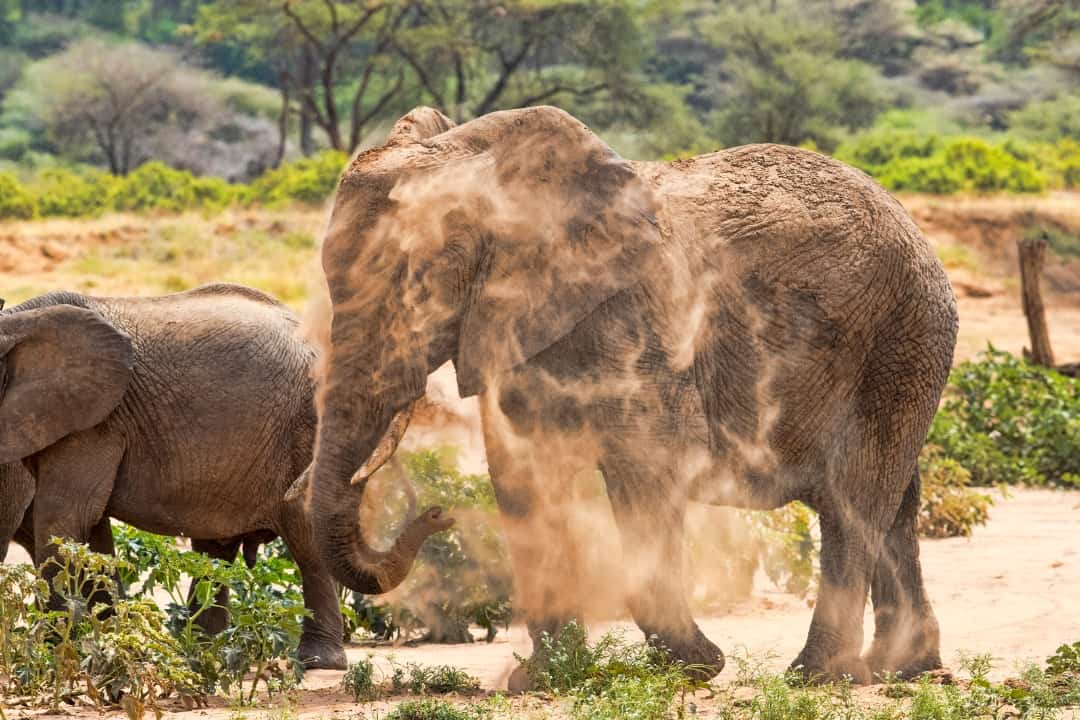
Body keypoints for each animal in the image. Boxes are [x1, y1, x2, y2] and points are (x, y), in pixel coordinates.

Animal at [0, 283, 348, 669]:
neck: (16, 320)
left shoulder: (95, 423)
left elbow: (64, 518)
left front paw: (54, 651)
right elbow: (91, 529)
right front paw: (111, 643)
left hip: (306, 427)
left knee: (304, 535)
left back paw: (318, 660)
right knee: (215, 551)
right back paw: (200, 652)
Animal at [303, 105, 959, 687]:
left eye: (418, 282)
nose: (438, 513)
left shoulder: (638, 324)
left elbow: (648, 467)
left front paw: (695, 667)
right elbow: (522, 480)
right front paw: (543, 679)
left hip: (901, 337)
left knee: (854, 500)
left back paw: (818, 676)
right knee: (896, 504)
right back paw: (905, 669)